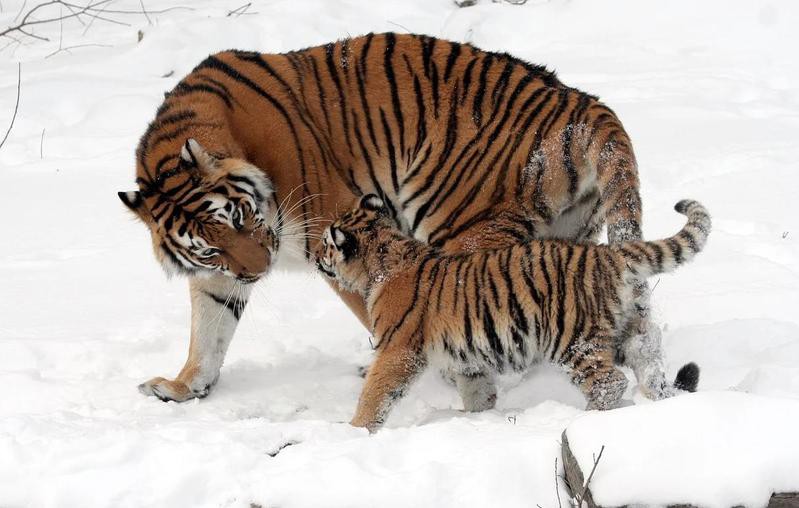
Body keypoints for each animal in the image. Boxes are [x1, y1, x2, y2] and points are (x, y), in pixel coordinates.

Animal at [119, 32, 680, 406]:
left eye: (238, 215)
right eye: (209, 246)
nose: (258, 271)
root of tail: (583, 103)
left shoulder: (335, 229)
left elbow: (380, 312)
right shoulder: (219, 275)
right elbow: (208, 330)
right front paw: (183, 387)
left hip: (460, 224)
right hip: (569, 236)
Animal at [315, 195, 710, 431]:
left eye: (325, 243)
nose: (316, 257)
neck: (383, 257)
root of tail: (609, 254)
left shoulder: (398, 350)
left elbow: (376, 393)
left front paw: (354, 430)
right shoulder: (467, 358)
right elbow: (477, 391)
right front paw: (476, 417)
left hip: (574, 340)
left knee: (609, 382)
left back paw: (583, 419)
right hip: (631, 331)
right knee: (650, 365)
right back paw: (660, 404)